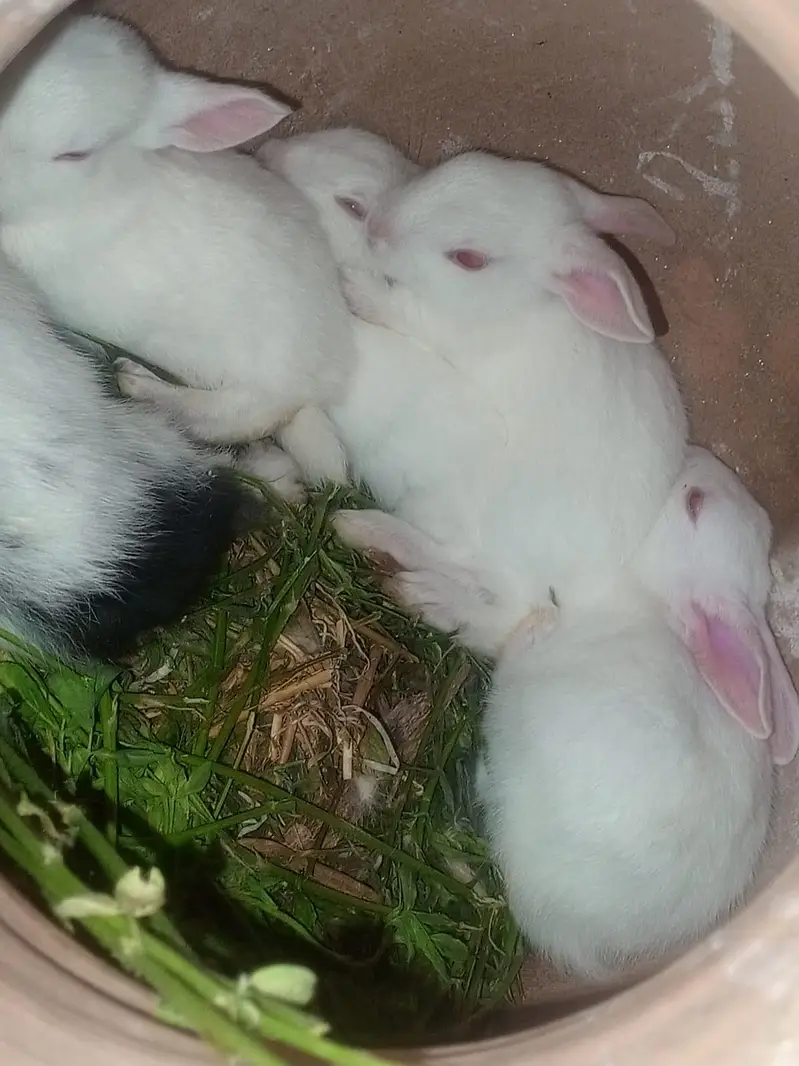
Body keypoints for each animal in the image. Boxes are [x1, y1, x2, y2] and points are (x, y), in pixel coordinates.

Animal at [315, 148, 689, 652]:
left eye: (469, 259)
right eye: (466, 161)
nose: (378, 228)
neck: (519, 307)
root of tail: (591, 586)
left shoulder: (438, 328)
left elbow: (402, 311)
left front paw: (355, 285)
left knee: (507, 606)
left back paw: (404, 573)